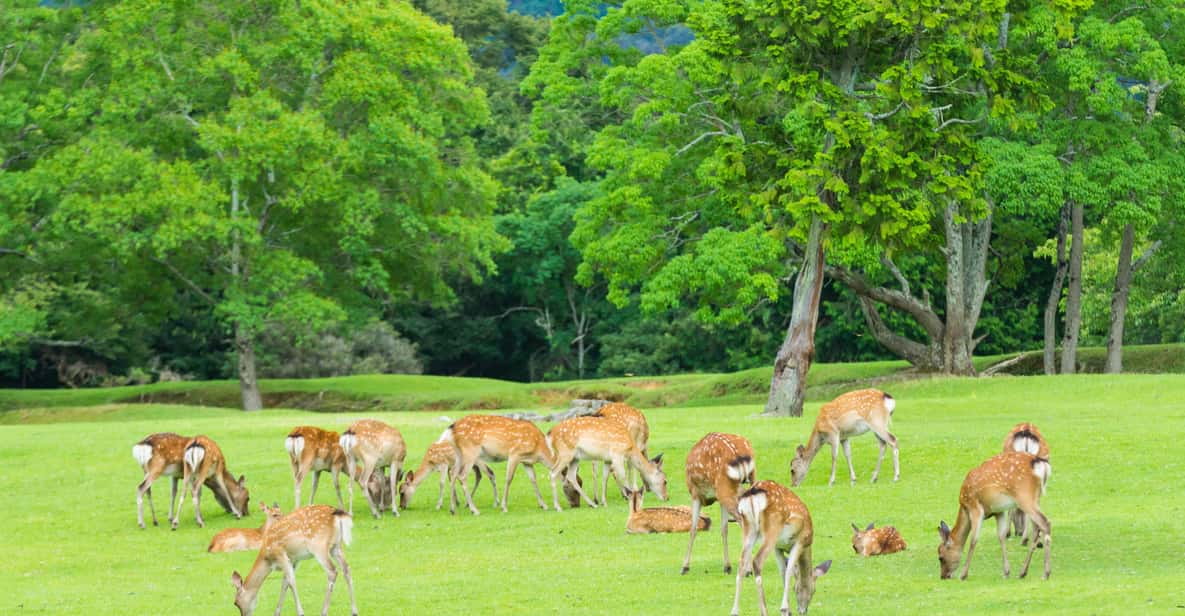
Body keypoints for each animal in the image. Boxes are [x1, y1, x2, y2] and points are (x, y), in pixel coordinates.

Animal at [681, 432, 755, 575]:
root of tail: (738, 454)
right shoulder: (719, 500)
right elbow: (724, 529)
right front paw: (727, 566)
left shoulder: (695, 494)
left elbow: (693, 529)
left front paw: (684, 567)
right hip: (750, 479)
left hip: (724, 487)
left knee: (744, 523)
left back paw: (748, 569)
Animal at [731, 480, 831, 616]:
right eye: (814, 590)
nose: (803, 610)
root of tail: (753, 492)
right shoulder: (799, 542)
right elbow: (789, 571)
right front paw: (785, 609)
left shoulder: (778, 548)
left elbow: (782, 571)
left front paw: (788, 610)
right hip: (772, 527)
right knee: (757, 560)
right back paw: (764, 611)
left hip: (747, 527)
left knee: (742, 562)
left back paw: (734, 611)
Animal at [937, 451, 1052, 581]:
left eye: (940, 557)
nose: (943, 576)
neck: (964, 507)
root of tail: (1041, 464)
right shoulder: (999, 512)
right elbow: (1001, 536)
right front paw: (1006, 572)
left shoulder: (975, 507)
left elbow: (973, 539)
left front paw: (963, 574)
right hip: (1036, 498)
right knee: (1036, 528)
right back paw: (1023, 572)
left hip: (1024, 495)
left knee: (1045, 523)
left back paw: (1046, 573)